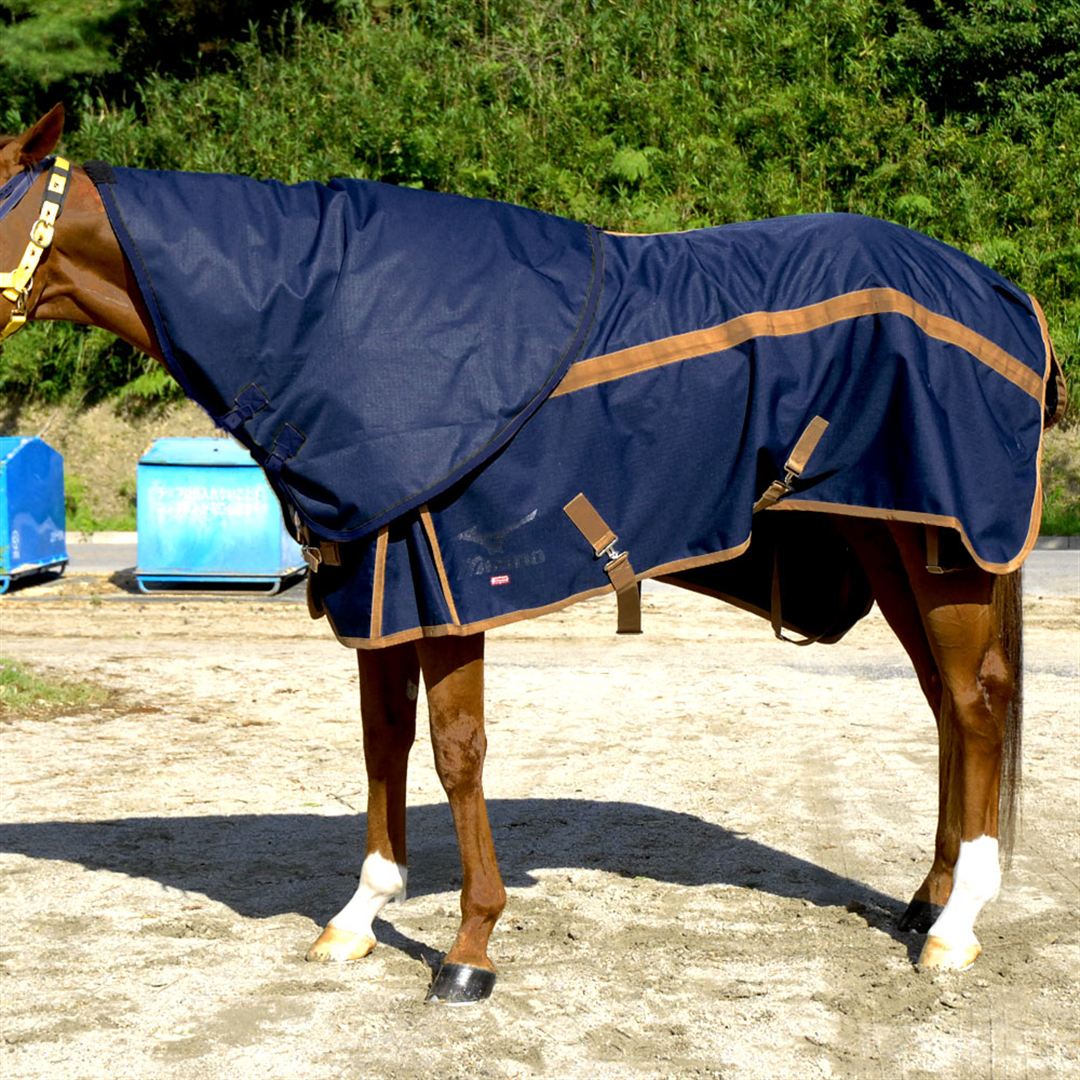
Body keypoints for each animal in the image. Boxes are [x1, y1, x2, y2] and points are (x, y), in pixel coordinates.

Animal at [1, 105, 1064, 1004]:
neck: (321, 317)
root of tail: (1005, 293)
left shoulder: (443, 587)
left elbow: (455, 752)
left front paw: (470, 949)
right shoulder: (382, 591)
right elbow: (382, 743)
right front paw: (359, 917)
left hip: (948, 550)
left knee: (975, 709)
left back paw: (956, 925)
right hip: (890, 541)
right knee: (944, 709)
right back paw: (926, 898)